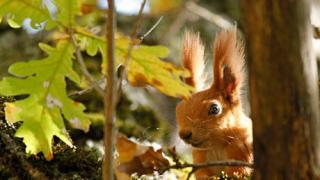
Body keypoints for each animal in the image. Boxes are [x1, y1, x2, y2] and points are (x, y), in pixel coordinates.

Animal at [175, 28, 252, 179]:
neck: (216, 145)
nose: (184, 134)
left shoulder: (242, 151)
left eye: (214, 108)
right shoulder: (200, 158)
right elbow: (203, 174)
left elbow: (239, 172)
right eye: (178, 108)